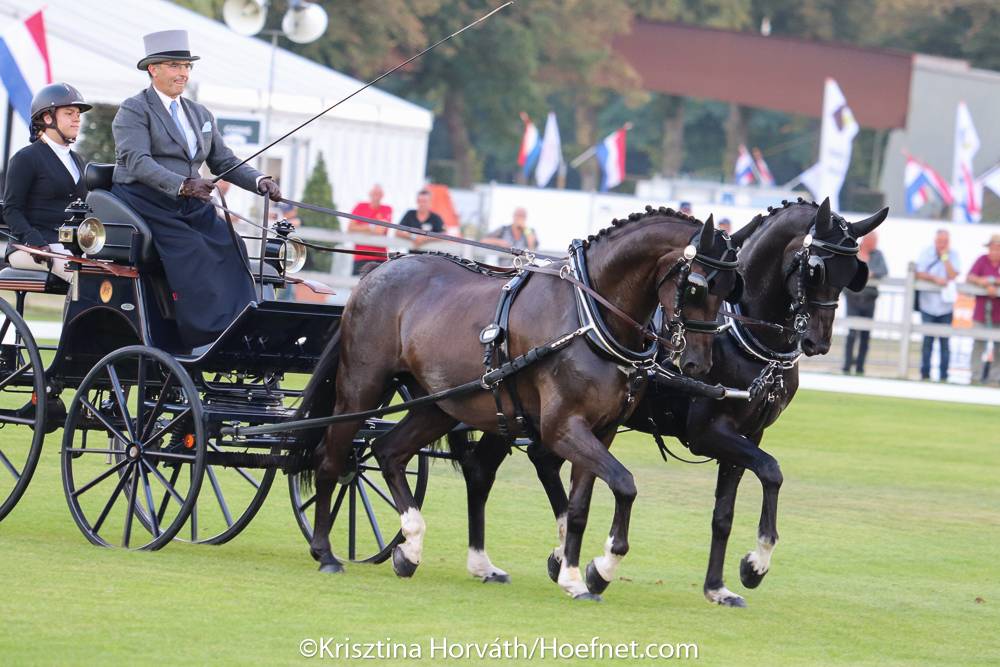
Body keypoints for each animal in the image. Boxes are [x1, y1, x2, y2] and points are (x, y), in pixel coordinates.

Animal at [296, 208, 741, 600]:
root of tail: (379, 270)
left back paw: (411, 547)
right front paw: (601, 567)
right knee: (332, 458)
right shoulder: (563, 429)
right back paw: (325, 552)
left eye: (729, 290)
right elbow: (624, 484)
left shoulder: (602, 432)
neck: (588, 317)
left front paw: (576, 576)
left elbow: (580, 506)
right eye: (697, 286)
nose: (698, 363)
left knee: (389, 451)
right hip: (362, 387)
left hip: (438, 405)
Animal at [447, 198, 887, 605]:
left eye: (853, 274)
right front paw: (756, 563)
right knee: (490, 469)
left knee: (518, 465)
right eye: (815, 269)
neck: (740, 333)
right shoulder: (710, 433)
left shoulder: (749, 434)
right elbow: (771, 471)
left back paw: (546, 556)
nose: (818, 342)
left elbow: (726, 512)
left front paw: (718, 586)